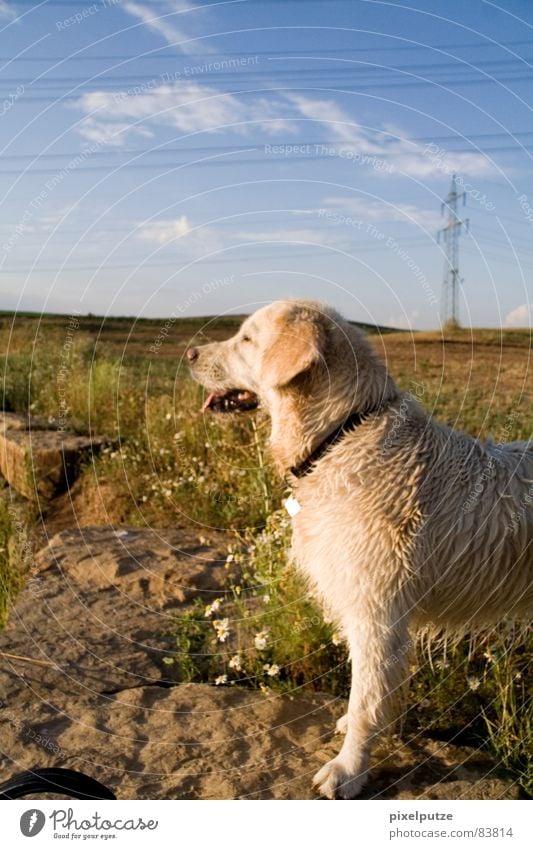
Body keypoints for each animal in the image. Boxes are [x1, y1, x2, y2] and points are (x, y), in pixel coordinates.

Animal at [187, 302, 532, 800]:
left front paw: (349, 769)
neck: (340, 437)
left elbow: (366, 696)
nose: (189, 353)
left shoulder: (377, 611)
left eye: (247, 339)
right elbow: (368, 694)